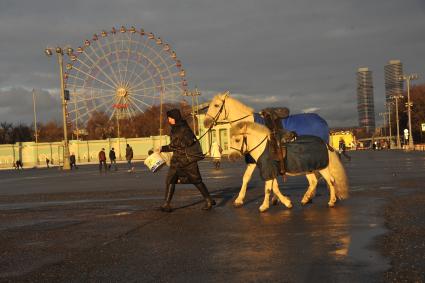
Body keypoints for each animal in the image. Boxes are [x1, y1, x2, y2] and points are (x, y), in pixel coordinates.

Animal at [204, 92, 340, 207]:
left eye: (216, 105)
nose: (206, 123)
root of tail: (322, 121)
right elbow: (250, 178)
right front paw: (276, 199)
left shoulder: (257, 160)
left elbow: (249, 178)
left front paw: (241, 199)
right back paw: (311, 197)